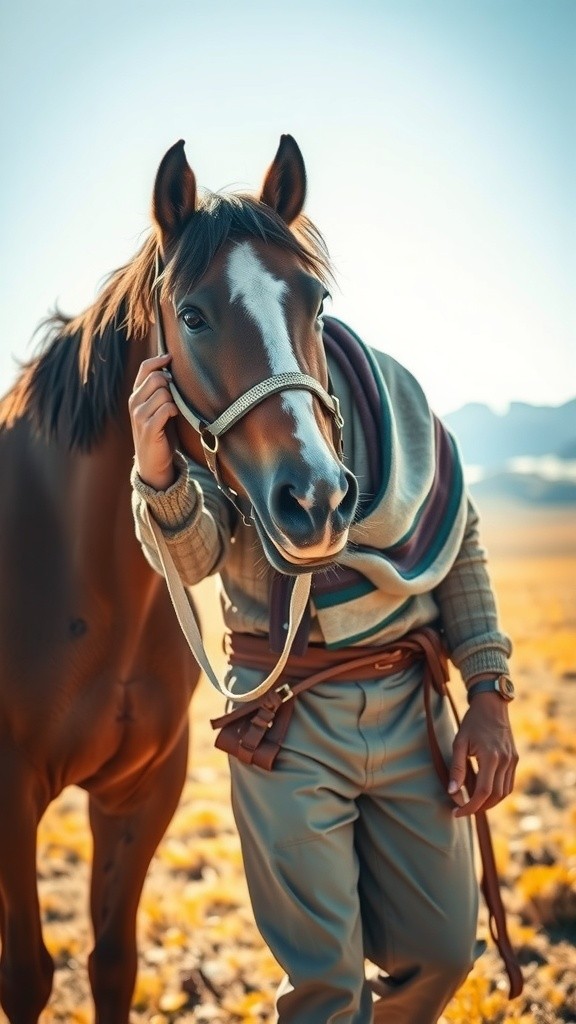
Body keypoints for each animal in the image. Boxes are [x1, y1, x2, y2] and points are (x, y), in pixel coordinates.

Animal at [0, 134, 358, 1023]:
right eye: (192, 314)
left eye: (318, 304)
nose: (317, 499)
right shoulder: (8, 795)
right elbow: (25, 975)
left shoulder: (142, 792)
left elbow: (112, 964)